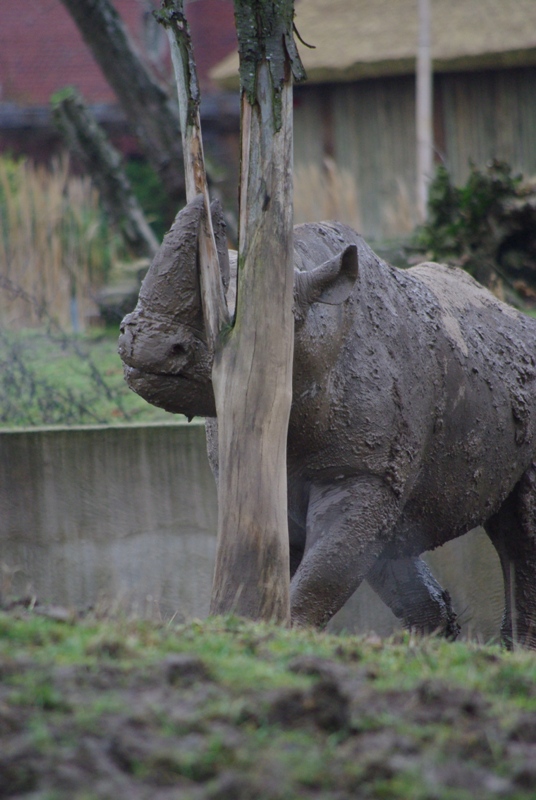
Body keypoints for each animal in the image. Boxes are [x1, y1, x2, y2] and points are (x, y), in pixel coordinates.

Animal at [118, 195, 536, 647]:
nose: (143, 342)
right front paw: (250, 624)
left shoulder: (364, 472)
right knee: (398, 547)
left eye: (228, 325)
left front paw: (283, 636)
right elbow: (294, 554)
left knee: (519, 534)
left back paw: (515, 649)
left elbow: (328, 567)